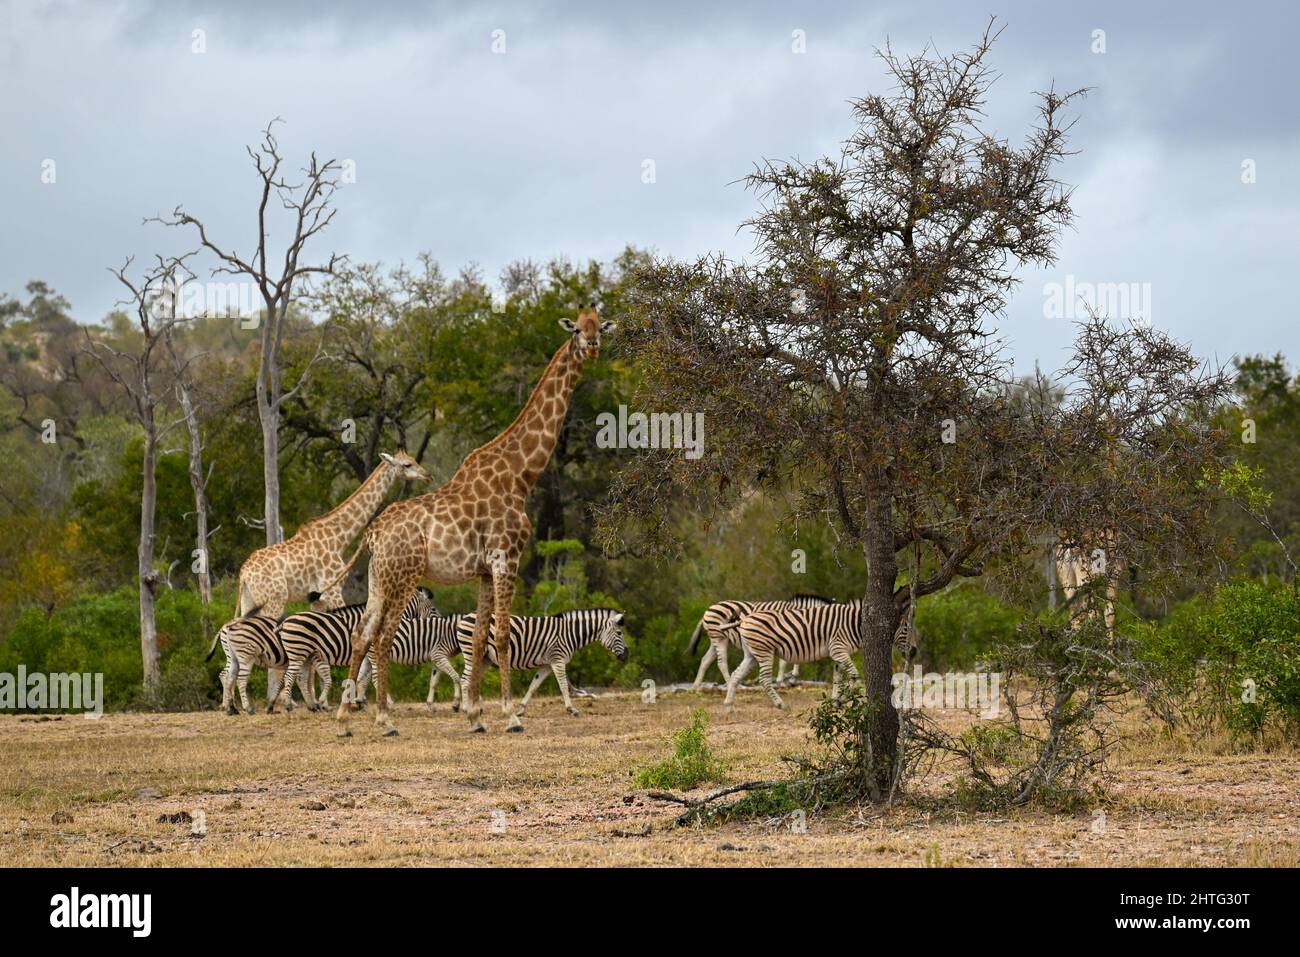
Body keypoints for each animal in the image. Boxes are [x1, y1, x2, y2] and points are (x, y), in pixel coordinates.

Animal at [235, 450, 431, 619]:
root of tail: (244, 574)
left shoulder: (317, 599)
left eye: (414, 460)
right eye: (407, 464)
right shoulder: (332, 591)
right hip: (274, 600)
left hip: (249, 601)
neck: (339, 538)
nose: (427, 475)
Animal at [269, 588, 439, 713]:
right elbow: (372, 677)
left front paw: (358, 701)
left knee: (300, 678)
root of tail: (285, 621)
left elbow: (362, 678)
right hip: (299, 652)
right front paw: (385, 702)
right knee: (291, 676)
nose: (439, 619)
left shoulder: (366, 656)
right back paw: (289, 705)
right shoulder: (372, 653)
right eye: (433, 608)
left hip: (305, 654)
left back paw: (311, 706)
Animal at [457, 608, 629, 717]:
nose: (627, 656)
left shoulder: (547, 664)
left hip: (485, 658)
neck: (570, 634)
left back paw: (477, 707)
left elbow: (534, 686)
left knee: (472, 679)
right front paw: (571, 709)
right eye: (619, 633)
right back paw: (466, 709)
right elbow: (563, 685)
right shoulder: (558, 660)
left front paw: (521, 710)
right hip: (472, 652)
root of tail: (465, 617)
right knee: (465, 679)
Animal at [686, 595, 833, 690]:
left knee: (705, 660)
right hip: (719, 638)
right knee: (721, 663)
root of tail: (708, 610)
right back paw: (733, 685)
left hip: (716, 639)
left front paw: (792, 677)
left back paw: (696, 686)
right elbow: (784, 661)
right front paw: (781, 681)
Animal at [724, 600, 912, 710]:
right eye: (906, 629)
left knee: (735, 675)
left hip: (751, 654)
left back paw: (728, 705)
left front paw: (836, 701)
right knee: (764, 679)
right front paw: (844, 700)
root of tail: (744, 618)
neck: (855, 624)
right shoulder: (838, 648)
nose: (914, 651)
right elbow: (853, 675)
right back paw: (781, 704)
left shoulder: (837, 654)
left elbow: (837, 678)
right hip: (764, 652)